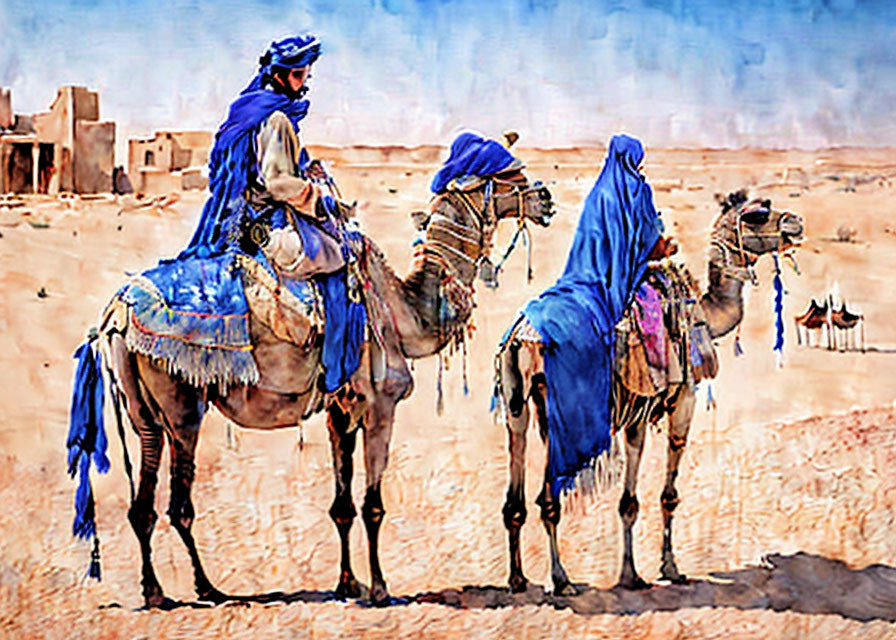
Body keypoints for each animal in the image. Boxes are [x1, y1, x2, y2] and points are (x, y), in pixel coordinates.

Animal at [89, 162, 552, 608]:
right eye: (508, 176)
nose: (545, 197)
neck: (405, 313)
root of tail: (116, 312)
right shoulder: (381, 403)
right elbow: (372, 505)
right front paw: (380, 588)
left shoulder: (340, 409)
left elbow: (343, 506)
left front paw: (349, 583)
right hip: (181, 401)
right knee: (178, 503)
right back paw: (207, 588)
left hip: (142, 408)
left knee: (143, 500)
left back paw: (155, 590)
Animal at [496, 190, 804, 596]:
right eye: (757, 214)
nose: (794, 222)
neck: (702, 311)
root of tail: (521, 336)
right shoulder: (683, 397)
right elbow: (667, 494)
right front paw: (668, 568)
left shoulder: (637, 411)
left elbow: (628, 501)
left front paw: (631, 574)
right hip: (560, 406)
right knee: (549, 499)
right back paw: (561, 580)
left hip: (518, 399)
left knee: (516, 491)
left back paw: (518, 578)